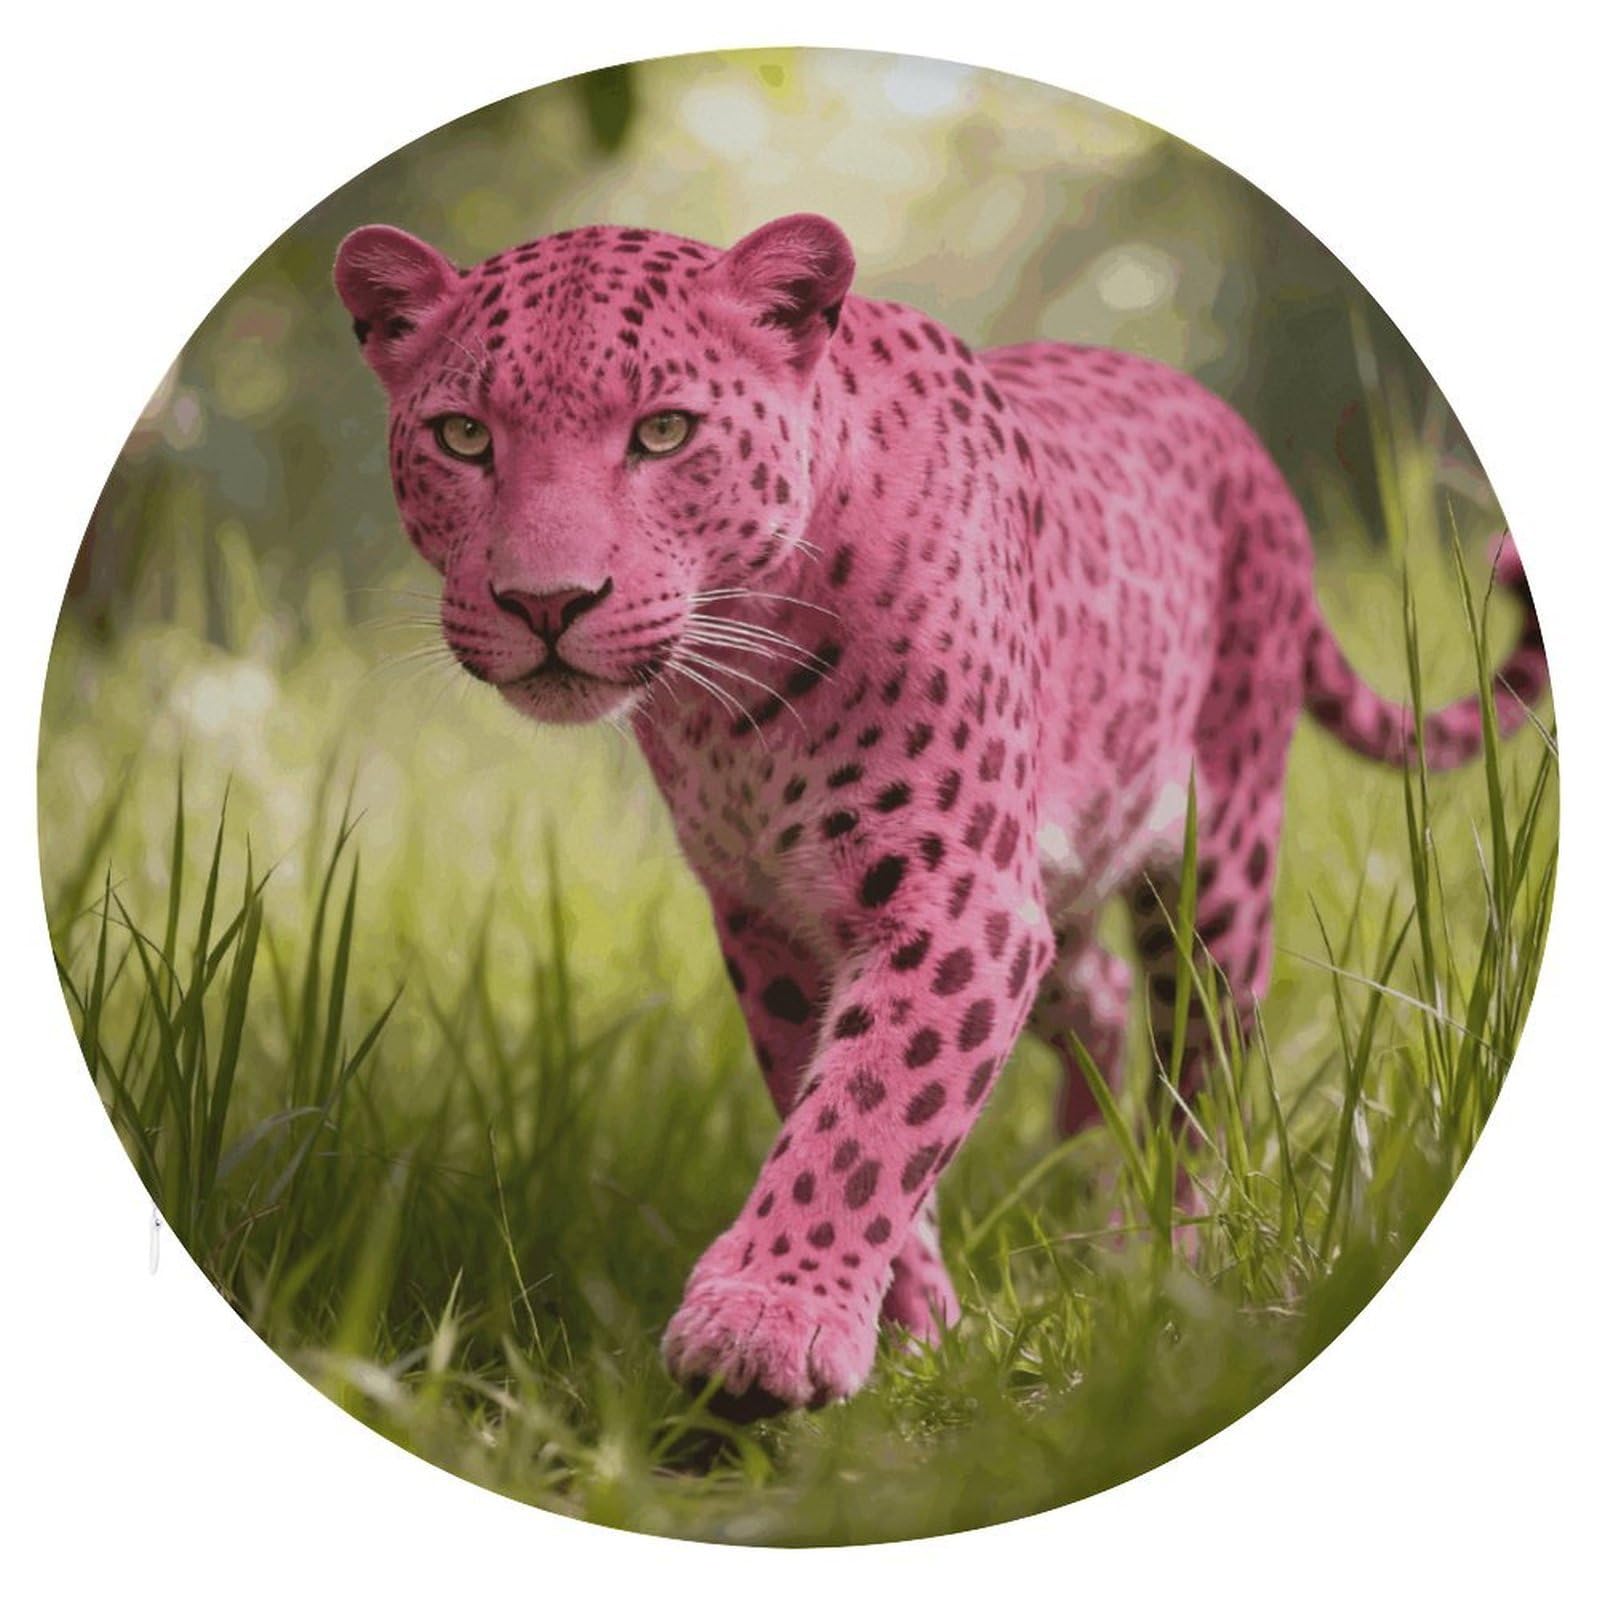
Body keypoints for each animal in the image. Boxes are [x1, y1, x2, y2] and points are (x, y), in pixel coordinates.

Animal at [334, 213, 1547, 1416]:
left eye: (665, 432)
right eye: (462, 438)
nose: (544, 604)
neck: (733, 692)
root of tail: (1226, 425)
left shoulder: (959, 895)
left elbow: (871, 1109)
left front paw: (767, 1320)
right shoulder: (772, 915)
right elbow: (844, 1102)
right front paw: (911, 1329)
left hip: (1220, 855)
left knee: (1200, 1067)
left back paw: (1160, 1253)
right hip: (1057, 878)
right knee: (1100, 994)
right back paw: (1080, 1187)